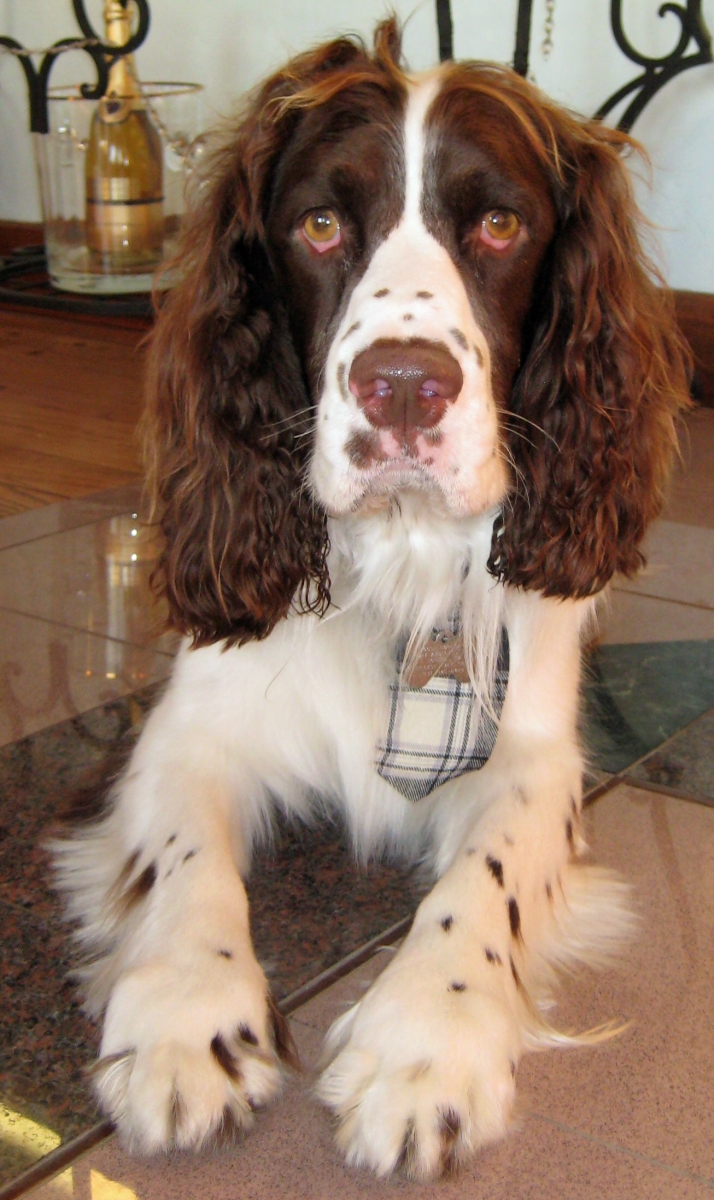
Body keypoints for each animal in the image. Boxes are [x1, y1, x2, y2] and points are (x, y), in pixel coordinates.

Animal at [55, 18, 691, 1180]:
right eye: (317, 225)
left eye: (499, 223)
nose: (402, 386)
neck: (400, 552)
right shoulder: (183, 726)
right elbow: (185, 860)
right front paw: (182, 1021)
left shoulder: (535, 757)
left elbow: (483, 883)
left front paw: (426, 1043)